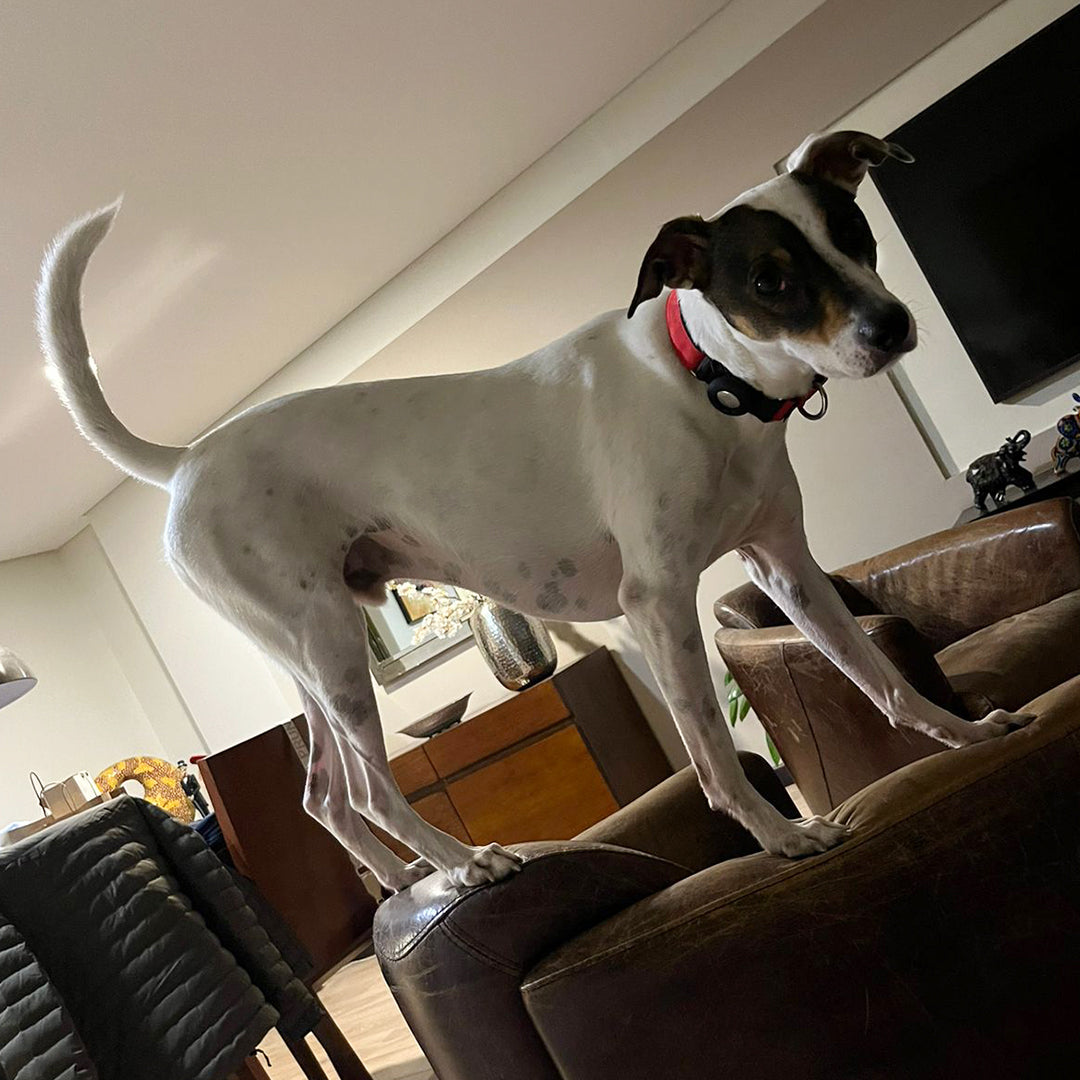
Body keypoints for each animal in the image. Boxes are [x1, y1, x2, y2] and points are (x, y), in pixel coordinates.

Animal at [33, 132, 1032, 894]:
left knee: (322, 796)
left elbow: (881, 678)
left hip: (310, 661)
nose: (893, 327)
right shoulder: (656, 604)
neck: (706, 385)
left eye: (853, 233)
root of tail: (185, 462)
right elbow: (710, 747)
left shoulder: (786, 568)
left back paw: (409, 880)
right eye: (772, 281)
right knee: (368, 794)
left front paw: (962, 735)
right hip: (334, 654)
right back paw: (470, 862)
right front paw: (783, 837)